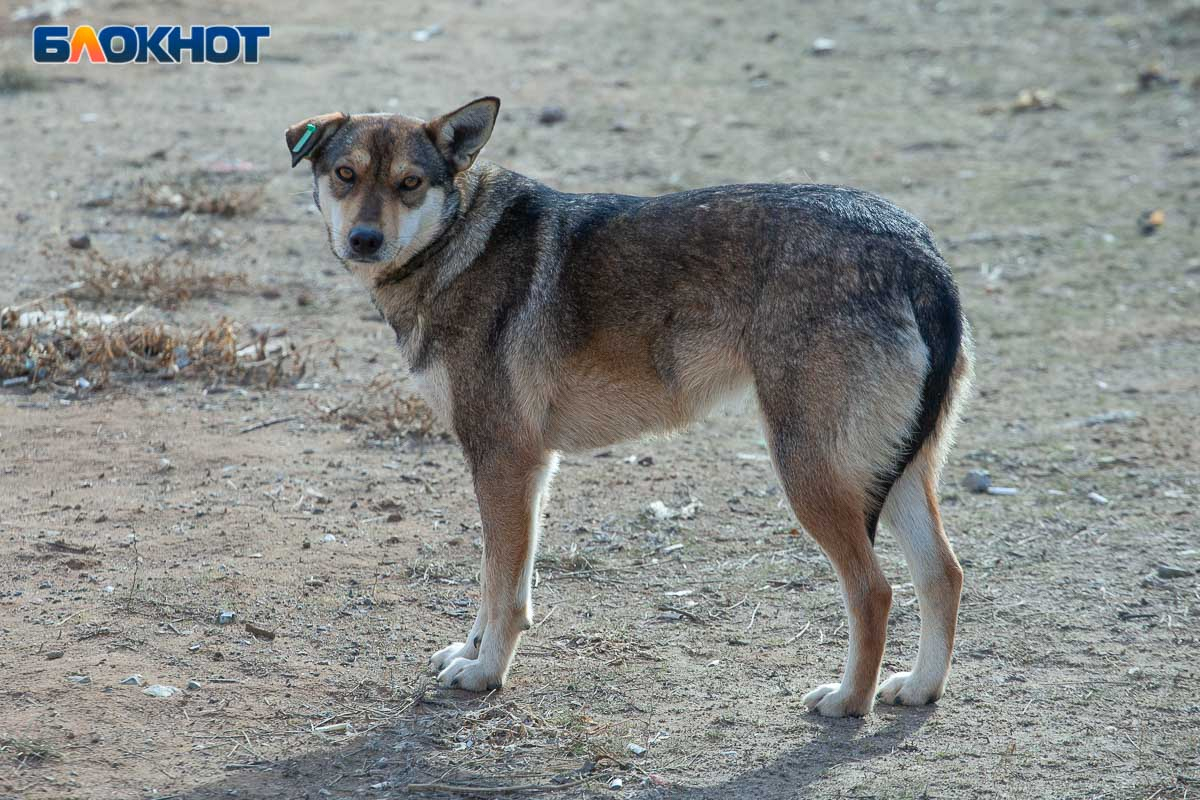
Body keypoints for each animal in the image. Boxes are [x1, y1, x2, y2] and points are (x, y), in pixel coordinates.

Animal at [288, 97, 974, 714]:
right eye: (345, 174)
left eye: (408, 184)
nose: (364, 239)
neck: (460, 243)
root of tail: (917, 251)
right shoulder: (528, 469)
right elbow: (502, 582)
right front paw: (471, 650)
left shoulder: (503, 460)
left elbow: (501, 588)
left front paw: (485, 674)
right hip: (897, 476)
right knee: (944, 574)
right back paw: (919, 688)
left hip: (810, 474)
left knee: (875, 591)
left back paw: (848, 701)